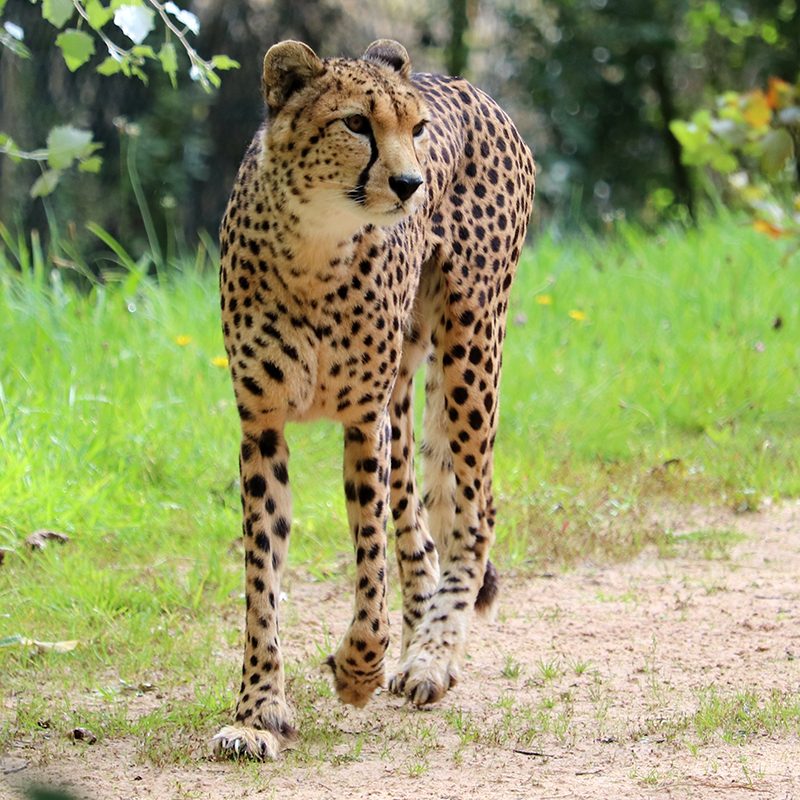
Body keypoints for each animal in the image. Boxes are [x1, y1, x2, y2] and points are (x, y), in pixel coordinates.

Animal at [216, 39, 536, 764]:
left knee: (473, 512)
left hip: (472, 342)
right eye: (357, 124)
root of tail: (466, 83)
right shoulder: (262, 427)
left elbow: (368, 566)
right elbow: (261, 579)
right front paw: (256, 711)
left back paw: (432, 657)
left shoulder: (362, 422)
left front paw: (358, 669)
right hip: (407, 385)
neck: (313, 243)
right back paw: (421, 637)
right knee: (417, 519)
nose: (411, 184)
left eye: (415, 129)